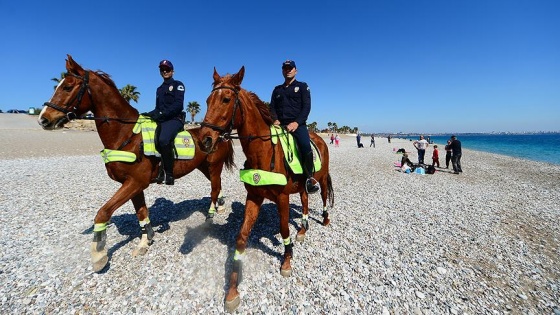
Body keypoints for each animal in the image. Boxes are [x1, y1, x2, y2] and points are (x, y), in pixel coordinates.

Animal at [37, 55, 234, 272]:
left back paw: (214, 211)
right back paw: (220, 205)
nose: (43, 119)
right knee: (217, 186)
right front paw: (144, 241)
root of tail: (220, 133)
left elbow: (103, 213)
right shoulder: (133, 185)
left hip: (214, 167)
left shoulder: (135, 183)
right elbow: (141, 213)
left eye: (67, 87)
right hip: (204, 167)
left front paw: (99, 254)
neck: (127, 135)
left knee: (215, 186)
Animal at [200, 66, 332, 312]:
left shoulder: (281, 198)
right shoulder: (254, 197)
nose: (205, 140)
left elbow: (284, 230)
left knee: (324, 195)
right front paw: (233, 289)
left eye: (226, 99)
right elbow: (241, 237)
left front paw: (287, 260)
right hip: (302, 187)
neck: (263, 152)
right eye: (207, 101)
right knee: (305, 200)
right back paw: (303, 229)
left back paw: (325, 219)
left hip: (320, 178)